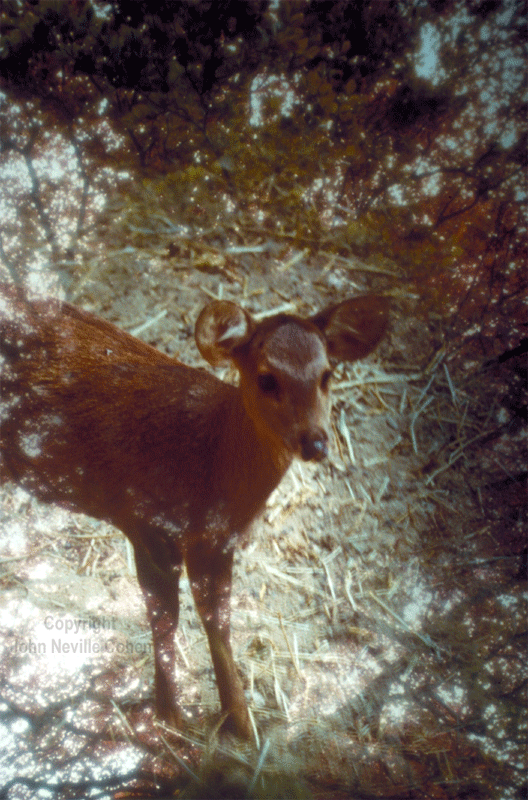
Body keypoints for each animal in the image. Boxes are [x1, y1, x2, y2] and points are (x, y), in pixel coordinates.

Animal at [0, 282, 388, 736]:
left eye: (327, 375)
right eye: (266, 378)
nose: (316, 442)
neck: (208, 462)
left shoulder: (218, 541)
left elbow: (217, 619)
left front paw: (240, 724)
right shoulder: (145, 521)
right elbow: (165, 616)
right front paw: (170, 718)